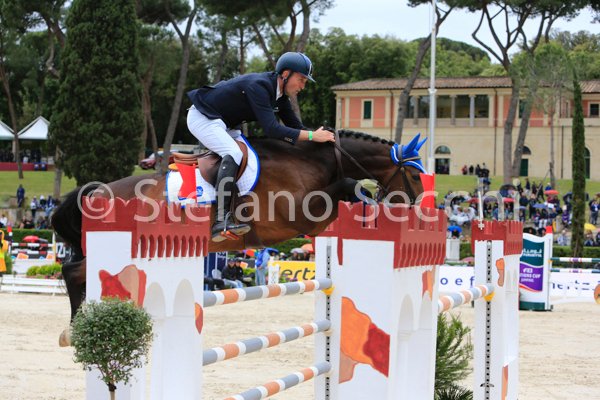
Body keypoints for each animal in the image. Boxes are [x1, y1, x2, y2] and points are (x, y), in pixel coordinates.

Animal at [52, 129, 427, 332]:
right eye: (414, 174)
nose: (418, 206)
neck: (314, 162)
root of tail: (97, 191)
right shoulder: (299, 215)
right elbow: (349, 186)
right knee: (73, 272)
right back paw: (76, 328)